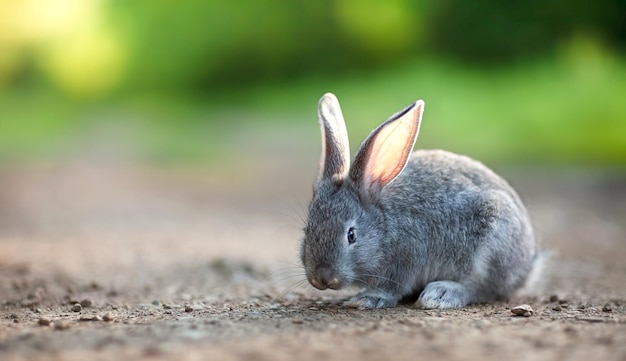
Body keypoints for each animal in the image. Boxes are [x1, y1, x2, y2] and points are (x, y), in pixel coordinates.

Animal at [300, 92, 532, 306]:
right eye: (307, 232)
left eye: (351, 235)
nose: (322, 278)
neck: (384, 227)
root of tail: (528, 266)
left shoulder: (405, 260)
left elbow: (391, 288)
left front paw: (367, 299)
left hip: (493, 243)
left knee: (481, 288)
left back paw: (440, 295)